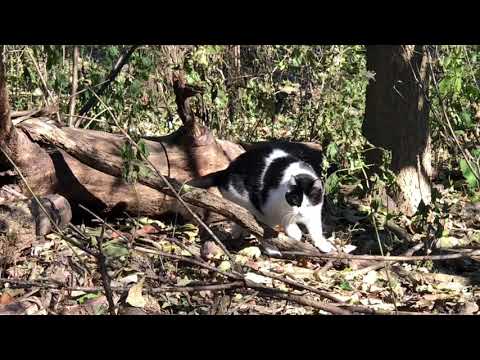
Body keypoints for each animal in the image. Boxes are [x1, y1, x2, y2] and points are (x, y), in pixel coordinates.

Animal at [187, 141, 334, 253]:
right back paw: (272, 250)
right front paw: (294, 232)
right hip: (251, 206)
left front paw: (323, 245)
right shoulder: (271, 205)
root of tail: (226, 172)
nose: (300, 213)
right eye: (295, 201)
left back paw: (237, 232)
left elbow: (316, 230)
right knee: (257, 229)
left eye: (308, 204)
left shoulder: (314, 212)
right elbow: (284, 219)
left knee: (241, 221)